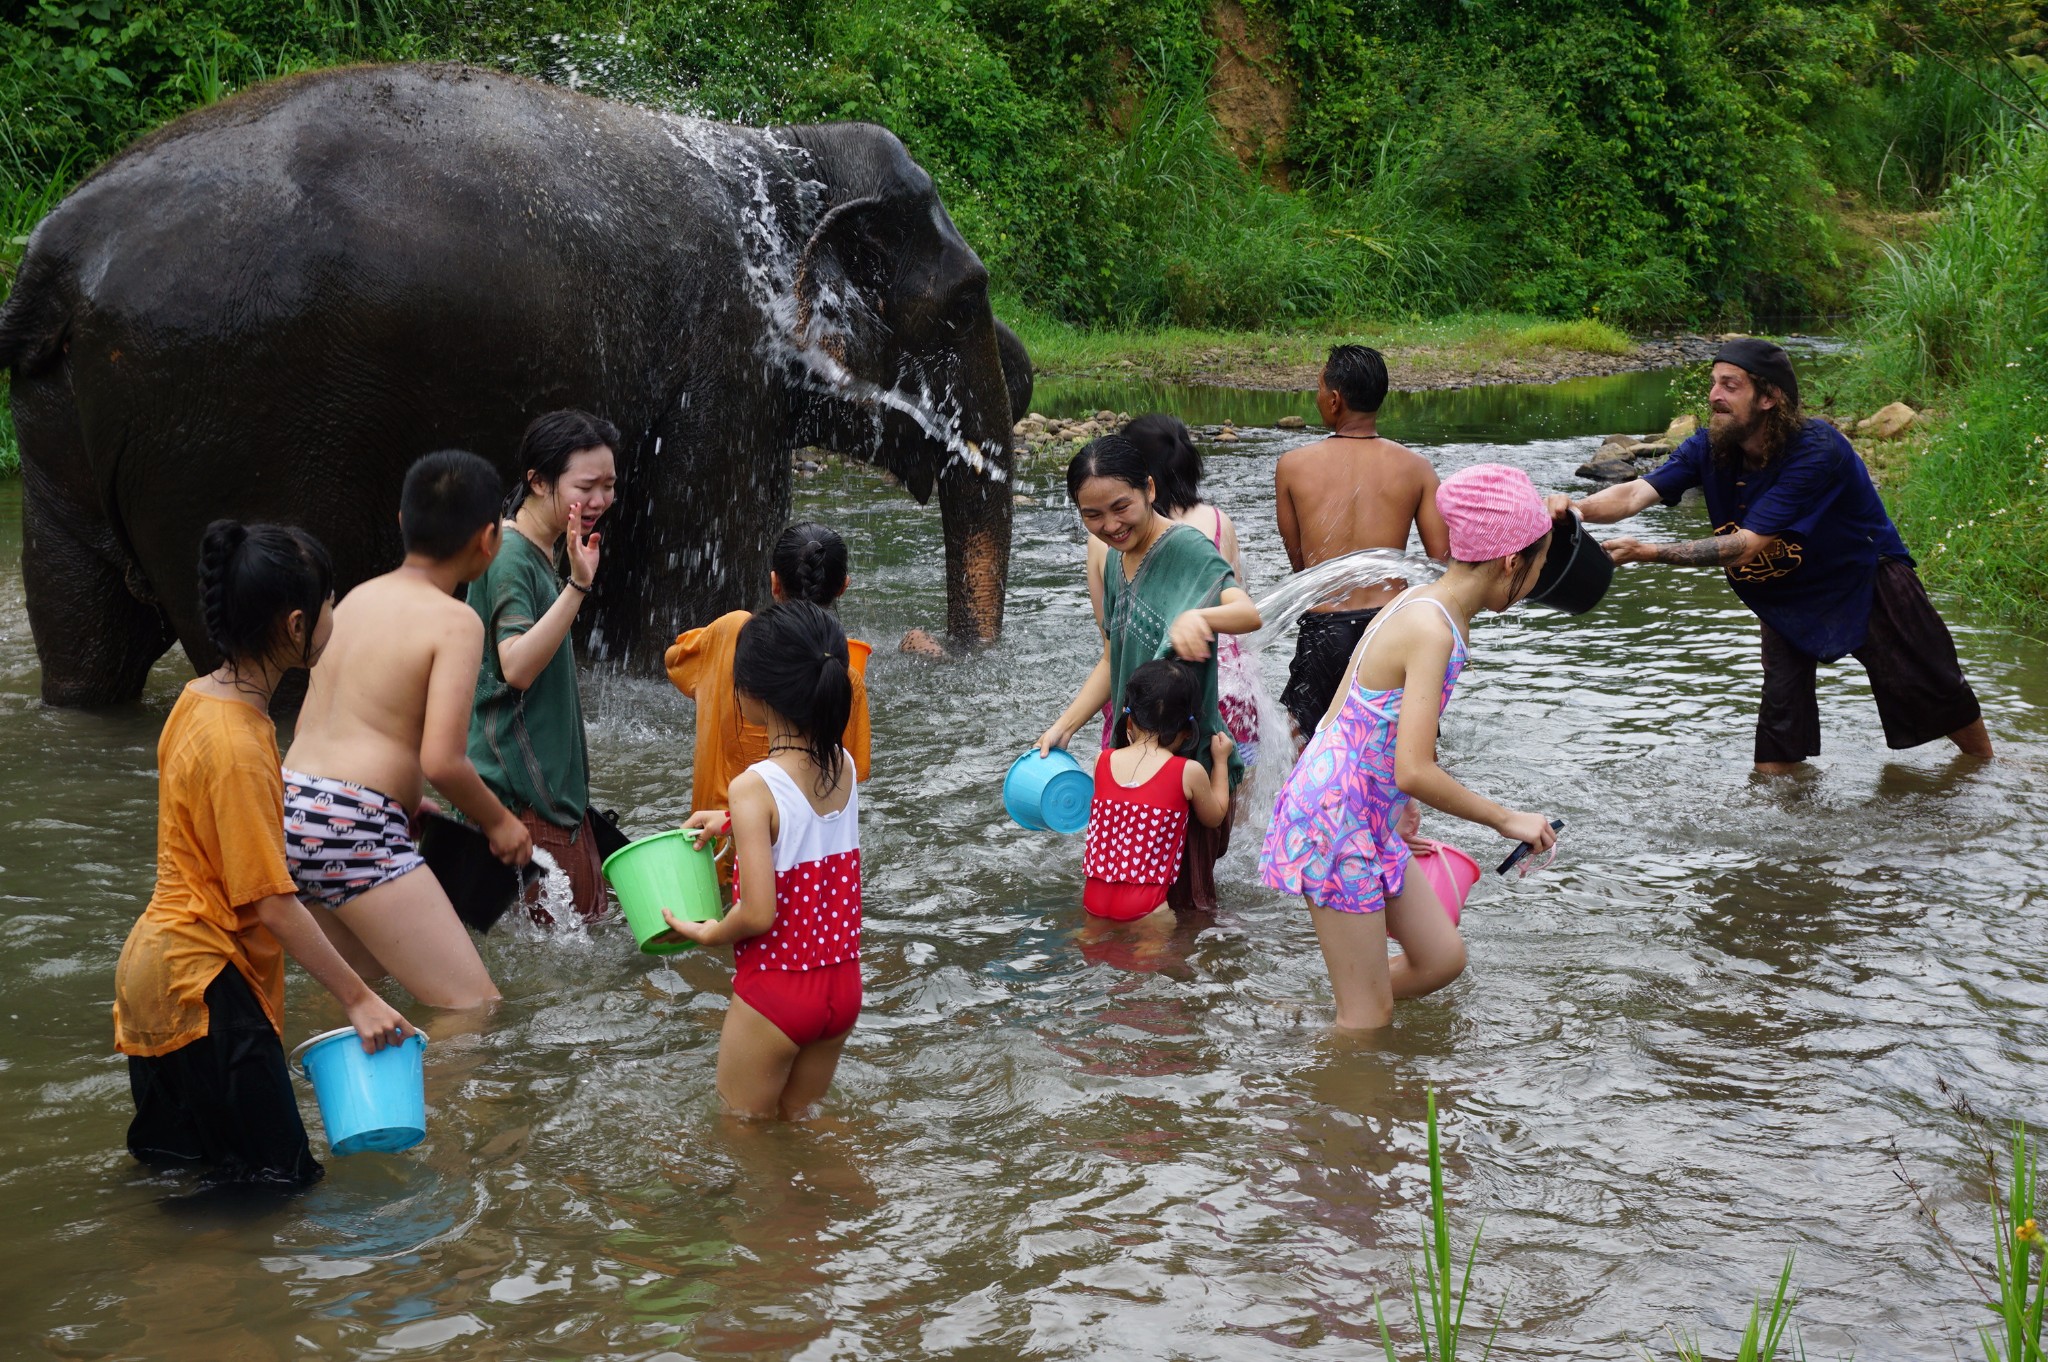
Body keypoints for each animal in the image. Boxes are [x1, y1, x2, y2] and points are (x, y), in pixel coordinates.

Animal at [0, 61, 1024, 700]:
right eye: (968, 301)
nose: (927, 646)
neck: (772, 153)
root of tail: (54, 260)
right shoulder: (724, 367)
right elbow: (683, 614)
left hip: (68, 440)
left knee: (88, 653)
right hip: (227, 426)